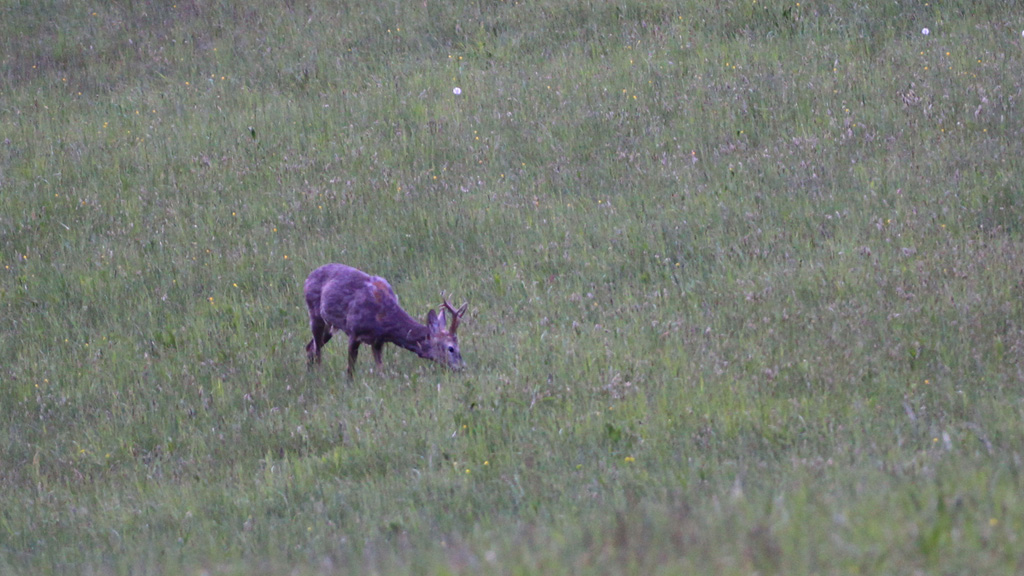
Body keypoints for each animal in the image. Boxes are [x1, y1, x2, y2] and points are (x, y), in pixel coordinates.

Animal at [301, 261, 466, 377]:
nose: (462, 368)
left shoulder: (378, 341)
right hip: (315, 314)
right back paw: (318, 374)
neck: (384, 320)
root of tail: (308, 277)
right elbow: (350, 370)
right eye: (451, 348)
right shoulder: (354, 331)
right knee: (317, 350)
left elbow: (381, 369)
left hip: (330, 326)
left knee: (310, 347)